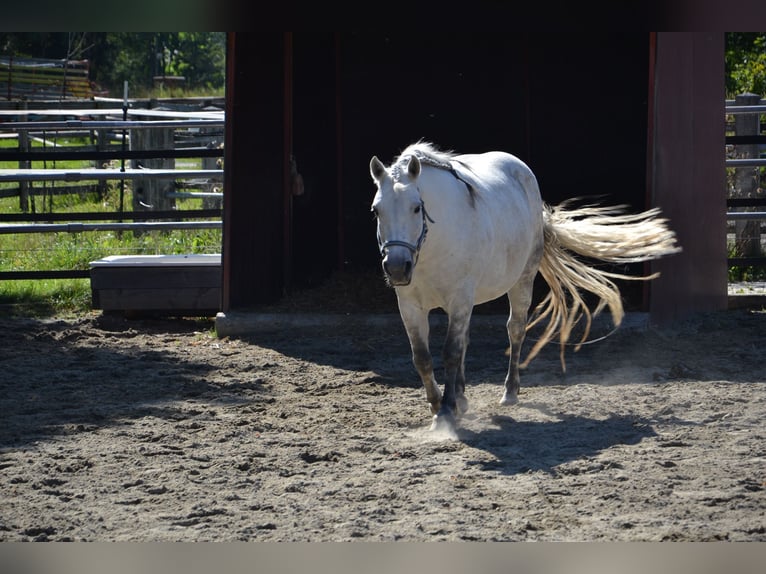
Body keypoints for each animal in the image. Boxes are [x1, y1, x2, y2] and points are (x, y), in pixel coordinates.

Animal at [369, 141, 681, 433]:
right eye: (376, 210)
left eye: (416, 207)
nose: (396, 267)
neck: (434, 242)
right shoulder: (411, 306)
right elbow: (422, 358)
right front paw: (438, 407)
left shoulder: (459, 300)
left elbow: (451, 352)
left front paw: (446, 412)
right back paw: (462, 398)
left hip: (522, 281)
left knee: (515, 329)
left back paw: (509, 392)